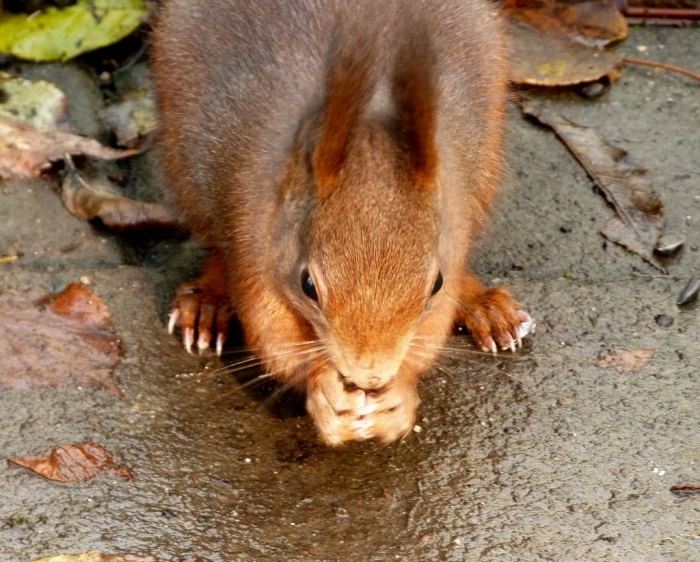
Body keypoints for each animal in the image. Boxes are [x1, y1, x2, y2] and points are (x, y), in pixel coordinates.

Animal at [152, 0, 534, 445]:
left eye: (435, 284)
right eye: (308, 285)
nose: (371, 378)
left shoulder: (451, 239)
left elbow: (431, 331)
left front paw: (399, 396)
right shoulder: (254, 239)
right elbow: (274, 340)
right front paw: (323, 391)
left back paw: (487, 307)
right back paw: (207, 302)